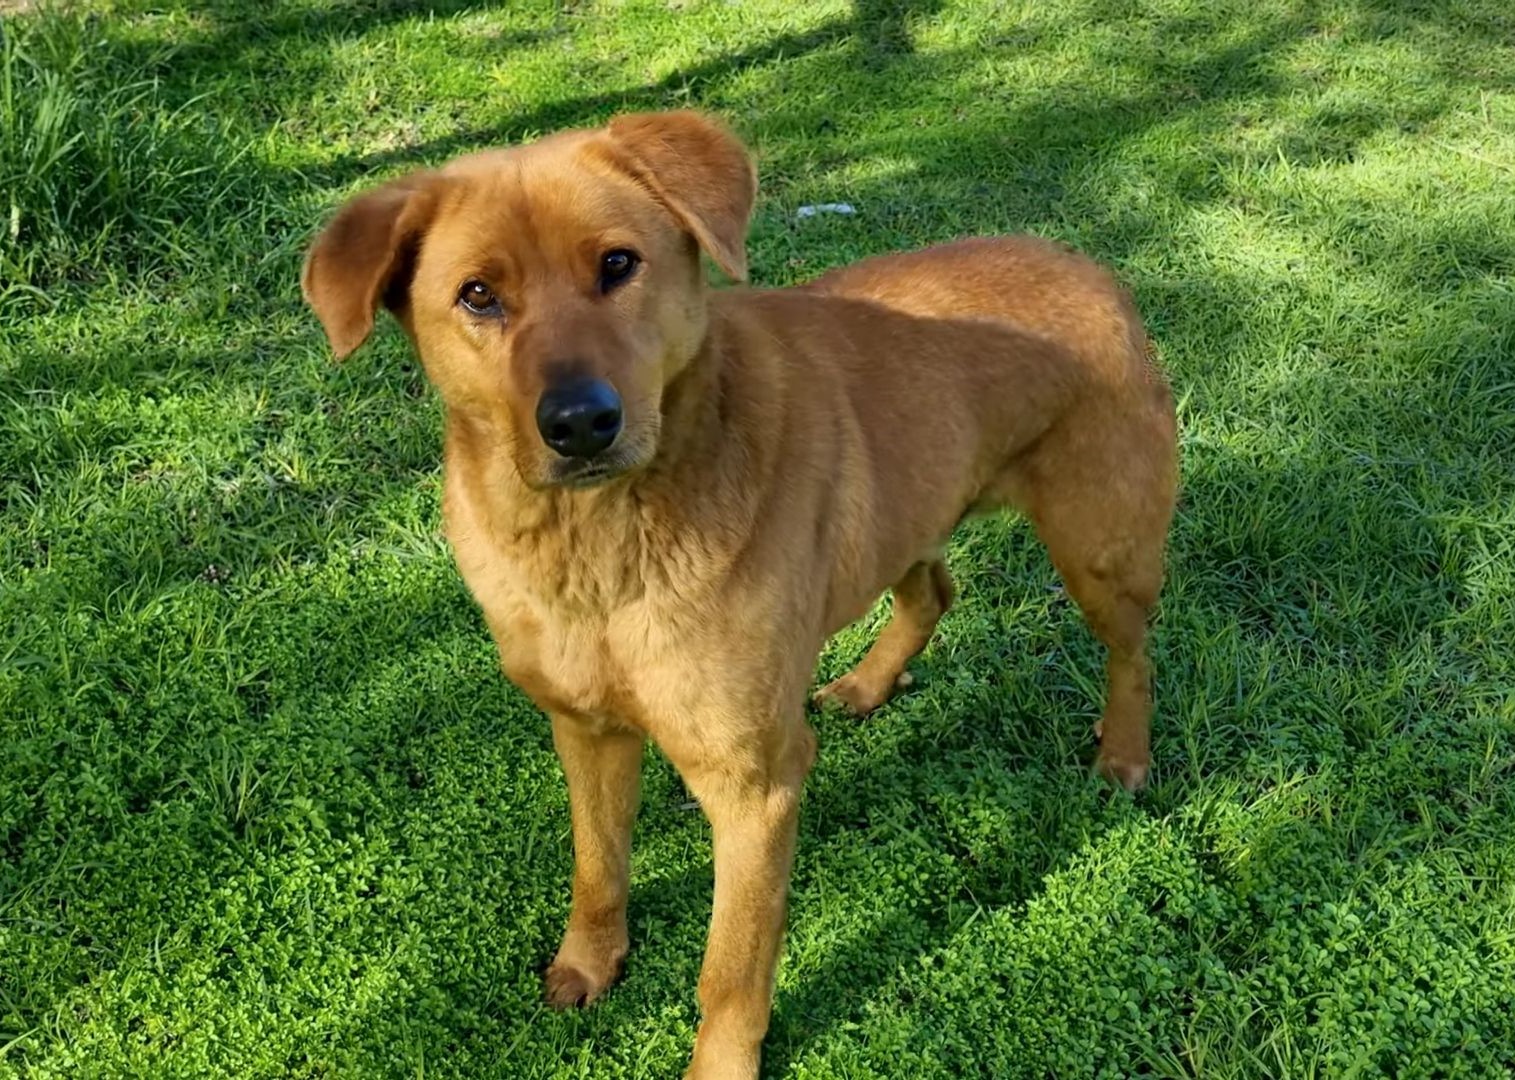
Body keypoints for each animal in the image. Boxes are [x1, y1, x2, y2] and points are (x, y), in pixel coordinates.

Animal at [304, 109, 1181, 1078]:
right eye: (477, 296)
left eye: (618, 264)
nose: (581, 423)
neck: (601, 547)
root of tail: (1085, 263)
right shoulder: (586, 728)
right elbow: (597, 863)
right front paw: (590, 958)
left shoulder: (751, 787)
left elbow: (731, 965)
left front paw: (720, 1062)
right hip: (901, 512)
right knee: (933, 587)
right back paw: (869, 684)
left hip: (1099, 550)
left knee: (1133, 653)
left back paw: (1123, 755)